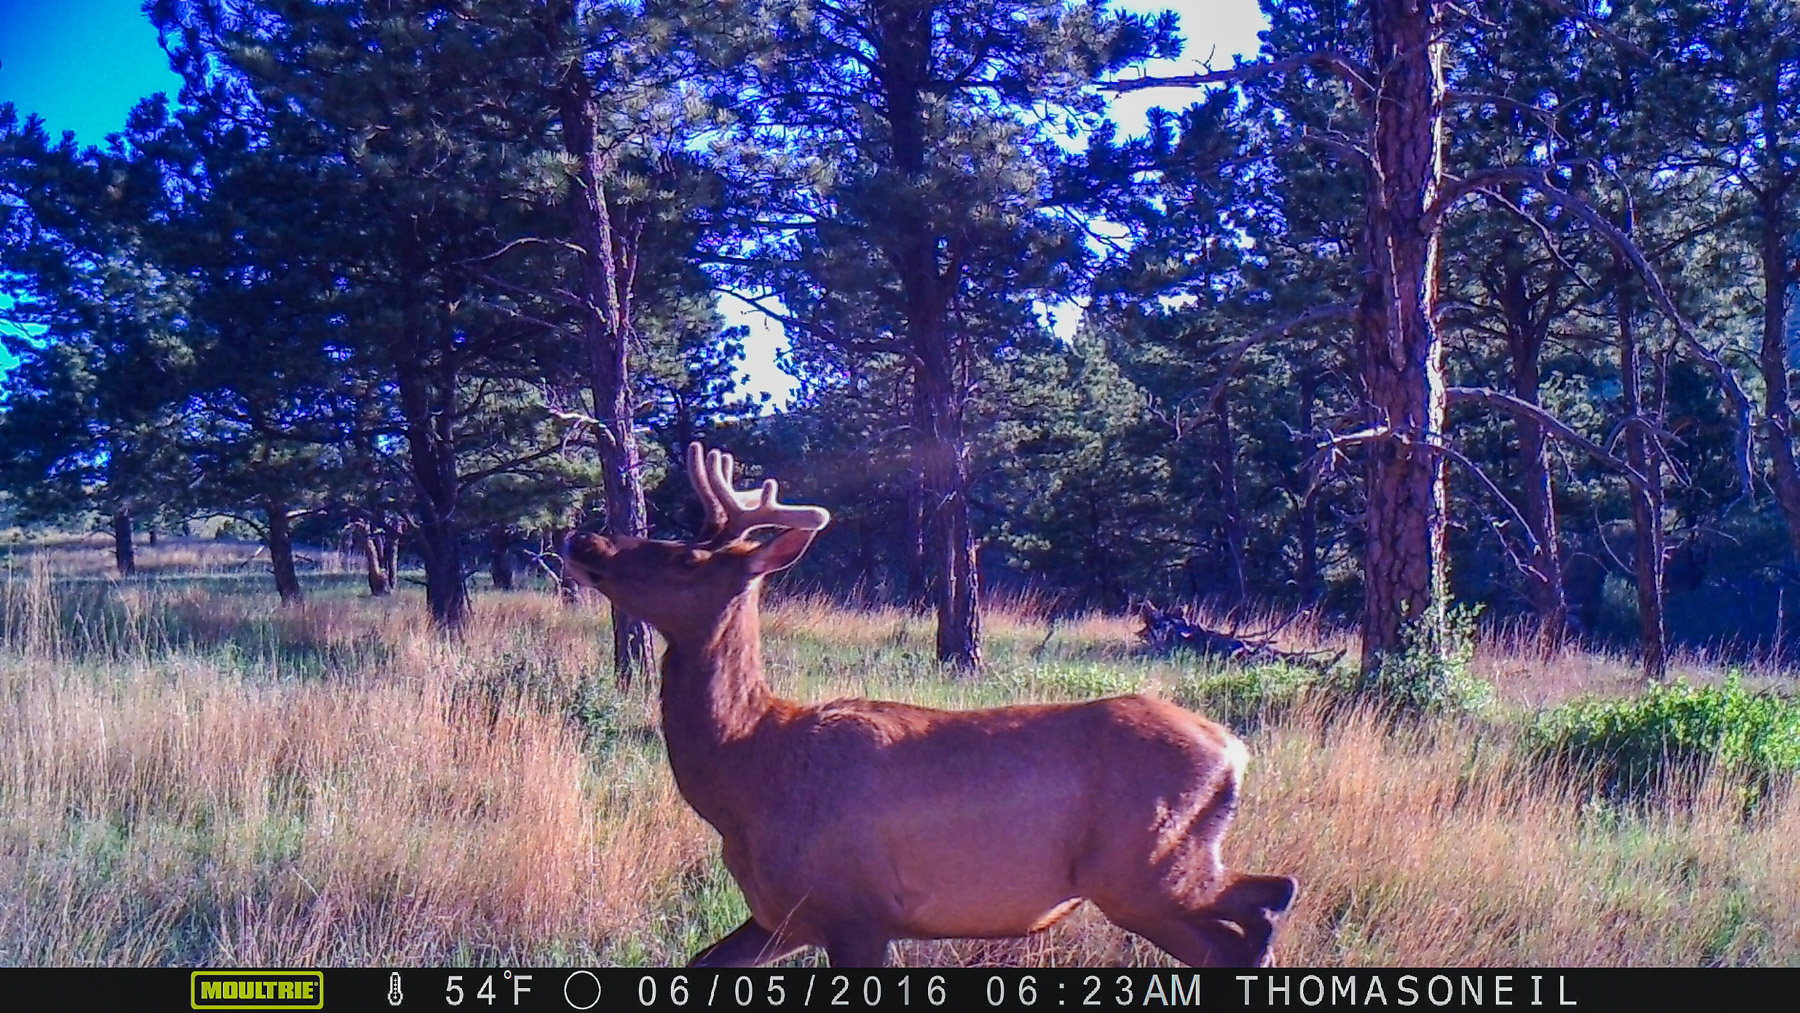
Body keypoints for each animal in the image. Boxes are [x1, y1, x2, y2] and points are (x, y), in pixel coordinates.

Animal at [562, 442, 1298, 968]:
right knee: (1251, 918)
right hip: (1156, 876)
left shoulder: (855, 909)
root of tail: (1234, 750)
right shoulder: (782, 914)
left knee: (1263, 909)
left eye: (685, 558)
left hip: (1144, 867)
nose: (583, 539)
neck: (748, 773)